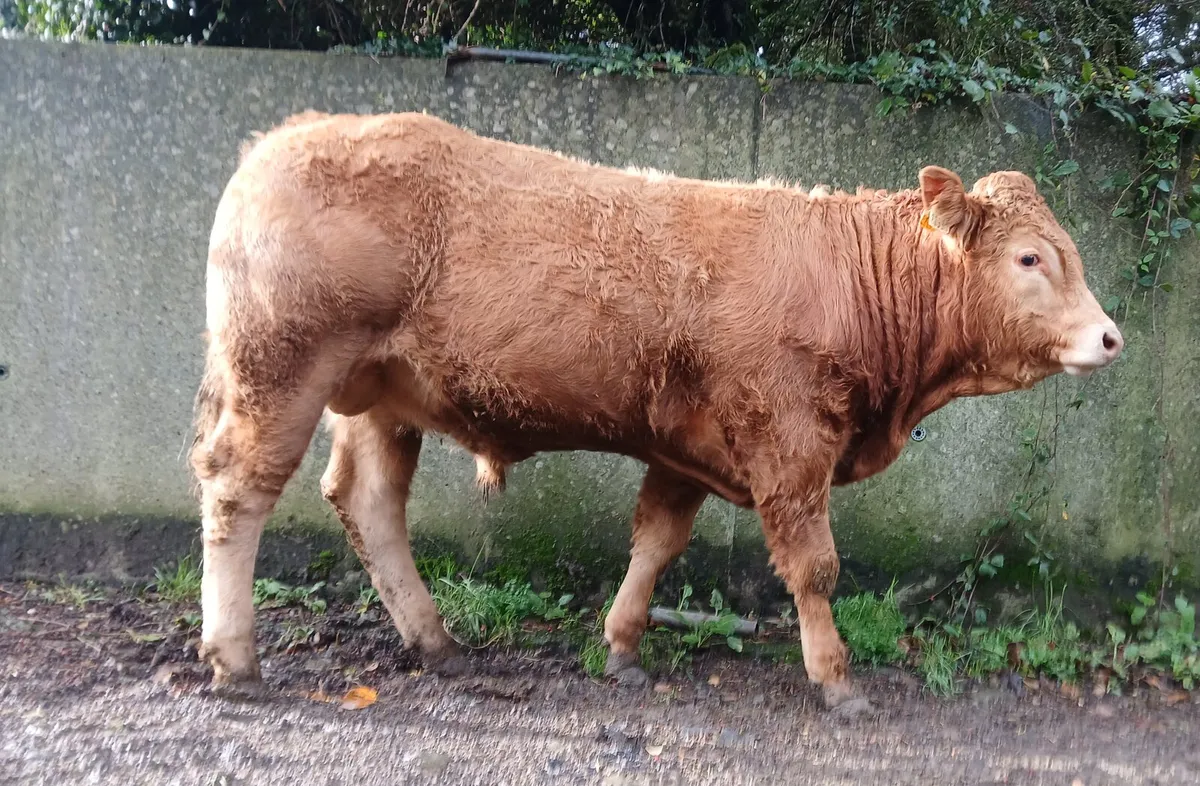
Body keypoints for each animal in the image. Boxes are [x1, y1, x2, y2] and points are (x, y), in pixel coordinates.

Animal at [189, 110, 1123, 713]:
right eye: (1031, 257)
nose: (1110, 337)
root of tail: (284, 137)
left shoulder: (688, 449)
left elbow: (656, 543)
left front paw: (622, 646)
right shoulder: (791, 444)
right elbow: (814, 568)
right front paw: (836, 680)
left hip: (383, 394)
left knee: (370, 502)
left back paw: (436, 643)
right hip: (282, 366)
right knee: (239, 488)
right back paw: (236, 658)